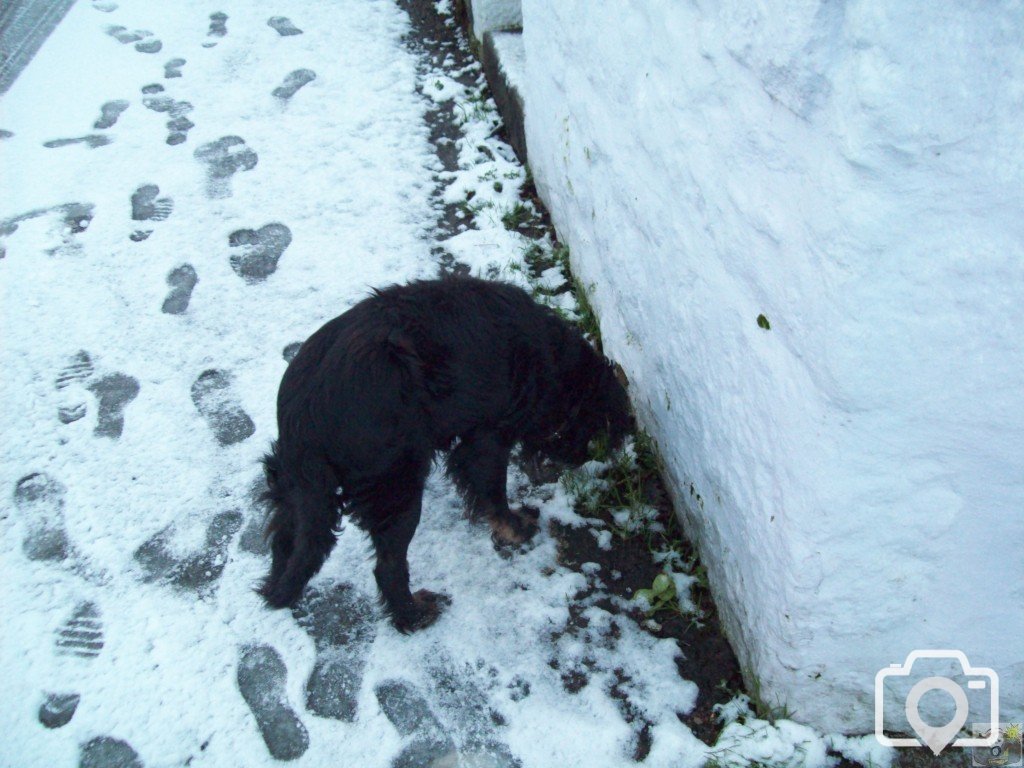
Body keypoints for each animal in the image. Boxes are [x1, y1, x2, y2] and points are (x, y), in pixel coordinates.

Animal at [260, 276, 630, 630]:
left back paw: (273, 587)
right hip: (397, 485)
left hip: (294, 488)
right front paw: (515, 528)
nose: (586, 460)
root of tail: (303, 419)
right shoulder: (486, 437)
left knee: (284, 540)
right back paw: (413, 615)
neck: (553, 364)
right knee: (388, 566)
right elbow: (493, 493)